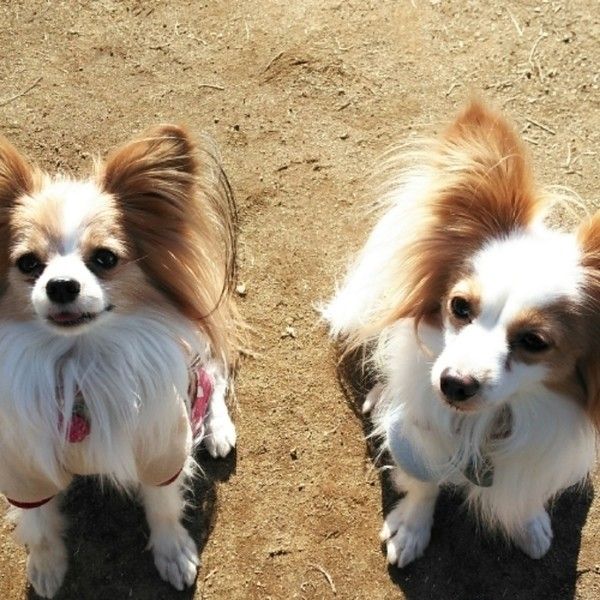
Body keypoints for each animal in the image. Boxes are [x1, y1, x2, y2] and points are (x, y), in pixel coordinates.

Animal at [0, 125, 240, 597]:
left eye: (105, 258)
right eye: (28, 263)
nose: (61, 285)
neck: (77, 363)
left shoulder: (161, 446)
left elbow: (163, 505)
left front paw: (174, 553)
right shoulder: (23, 469)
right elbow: (39, 525)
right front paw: (46, 567)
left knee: (214, 376)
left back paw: (218, 430)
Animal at [323, 100, 600, 567]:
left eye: (535, 342)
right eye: (459, 307)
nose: (452, 383)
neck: (490, 421)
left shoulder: (542, 458)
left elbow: (526, 493)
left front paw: (529, 525)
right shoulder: (415, 439)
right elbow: (423, 484)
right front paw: (411, 528)